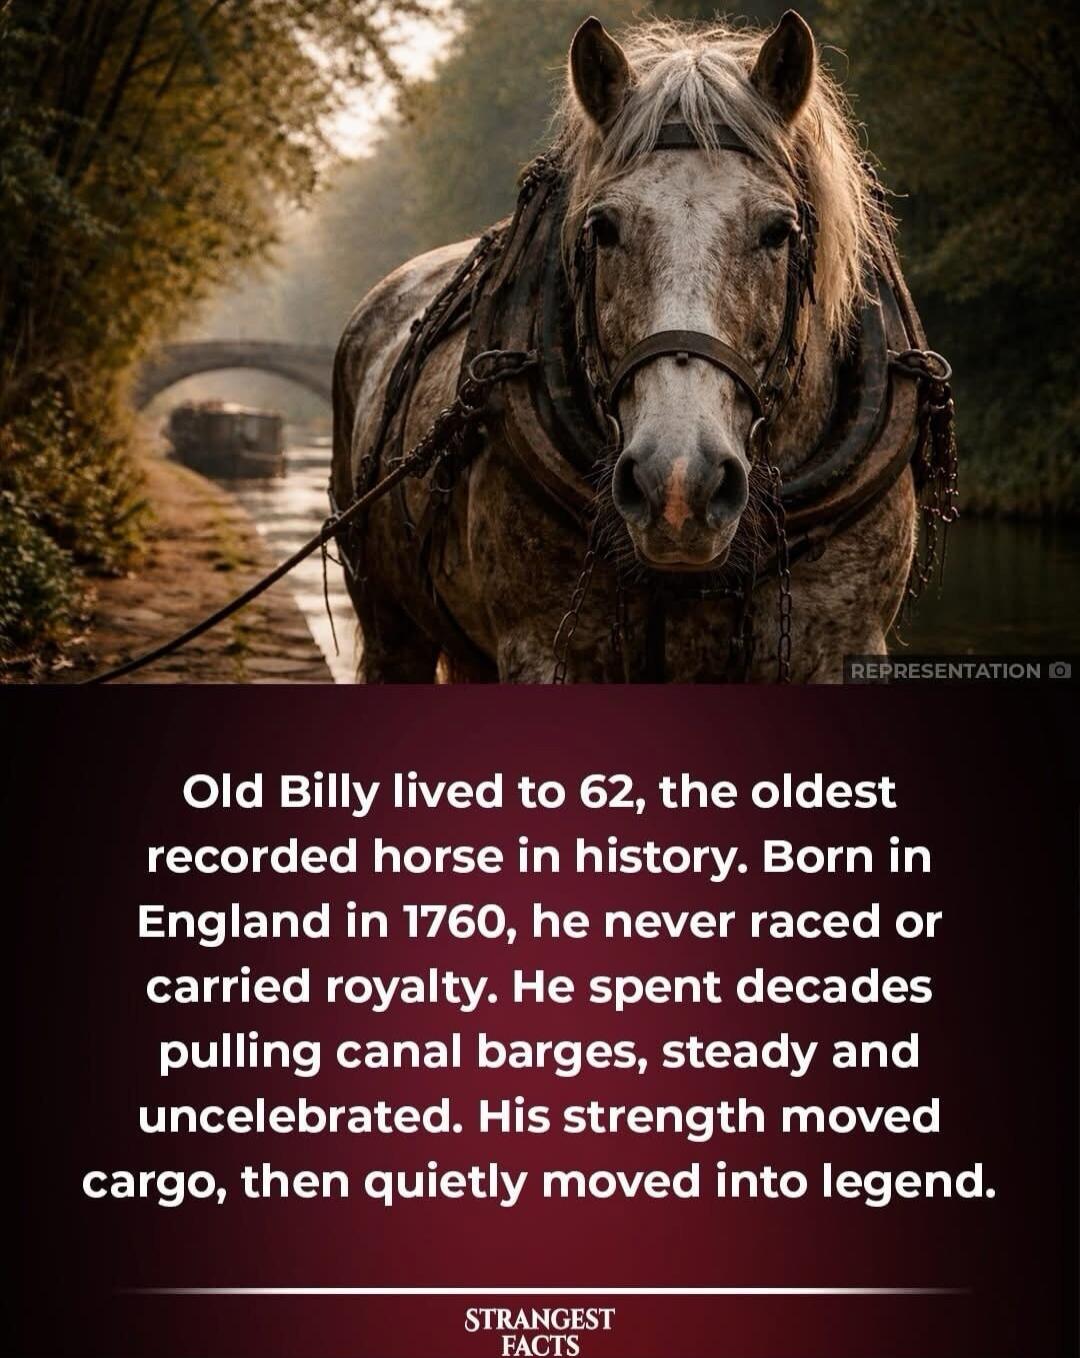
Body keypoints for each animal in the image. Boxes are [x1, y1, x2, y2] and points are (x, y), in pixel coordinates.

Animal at [331, 11, 953, 683]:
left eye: (778, 231)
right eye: (603, 229)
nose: (677, 486)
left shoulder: (840, 645)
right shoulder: (542, 649)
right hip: (393, 630)